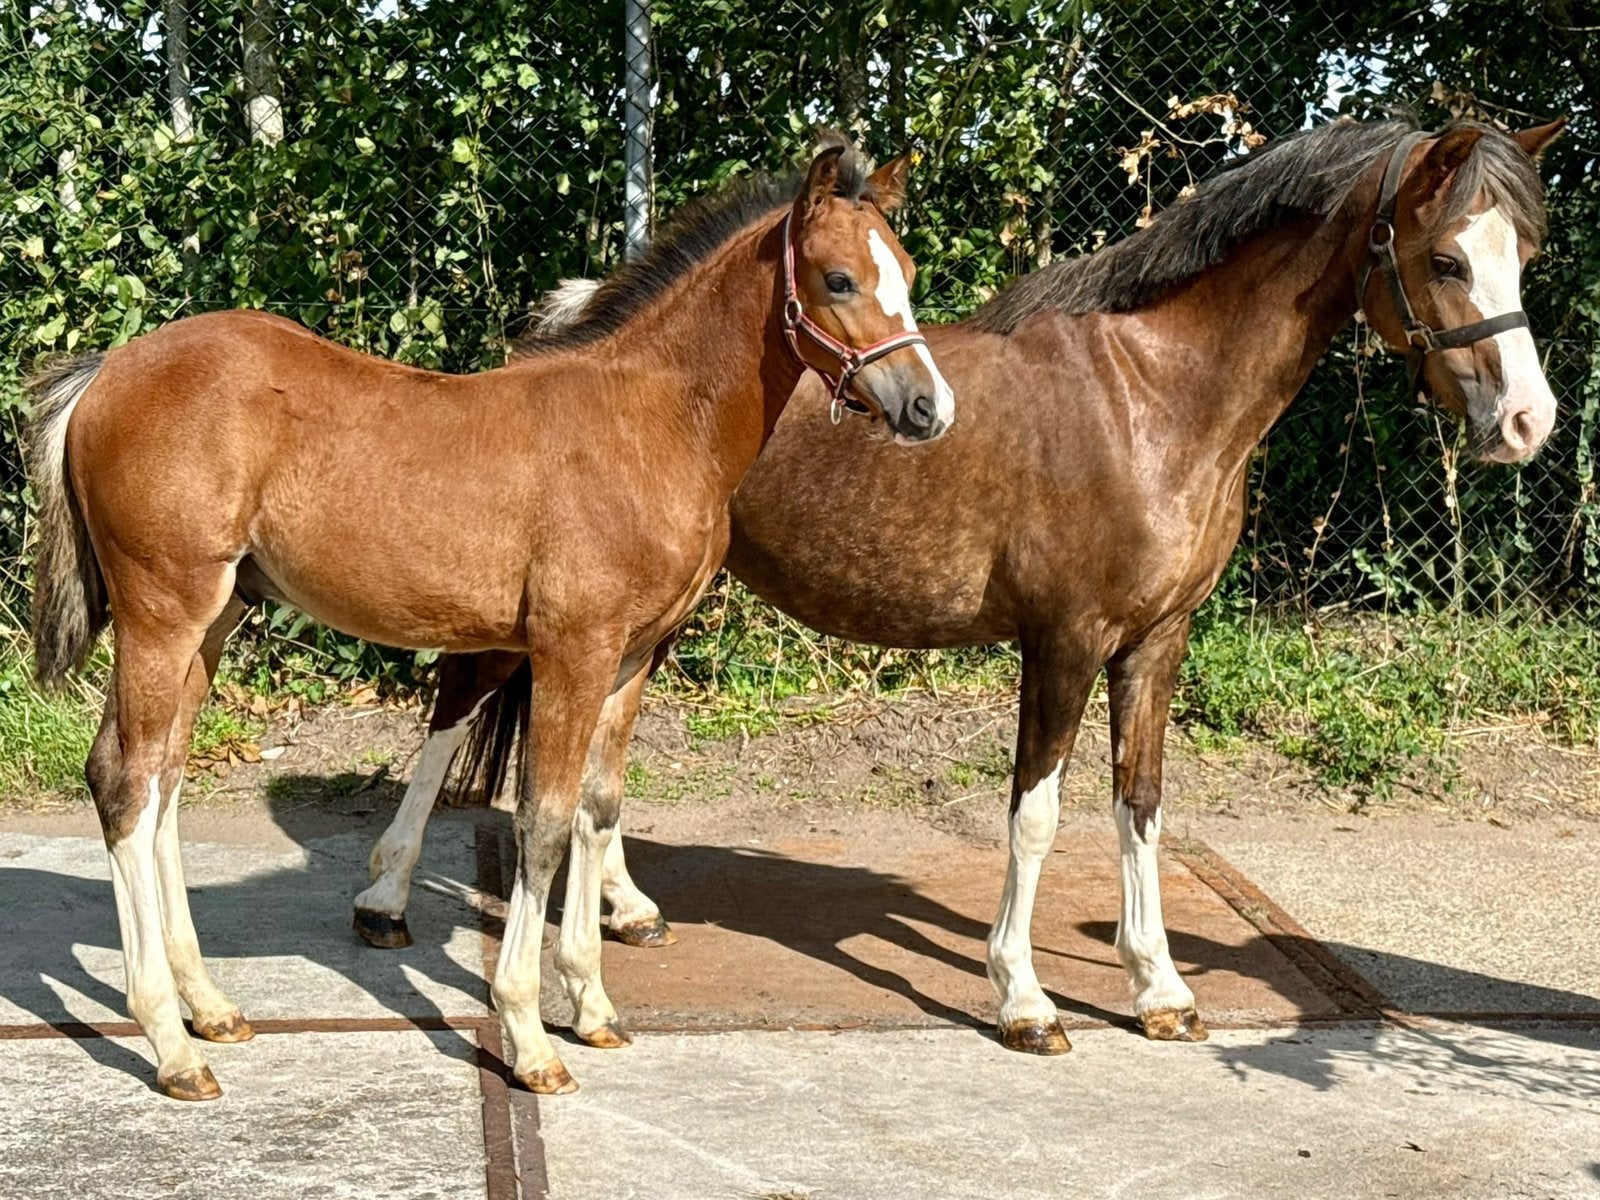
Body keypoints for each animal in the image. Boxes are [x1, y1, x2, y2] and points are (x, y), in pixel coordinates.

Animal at [24, 134, 954, 1101]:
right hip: (161, 611)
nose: (929, 408)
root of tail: (105, 372)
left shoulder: (630, 661)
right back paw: (171, 1045)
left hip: (213, 618)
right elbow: (540, 822)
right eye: (838, 279)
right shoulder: (573, 650)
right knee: (127, 784)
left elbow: (597, 809)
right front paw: (531, 1037)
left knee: (158, 779)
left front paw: (593, 1006)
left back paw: (209, 1005)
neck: (652, 422)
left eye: (906, 271)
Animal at [357, 116, 1563, 1058]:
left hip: (661, 612)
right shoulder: (1065, 640)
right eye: (1446, 260)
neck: (1153, 398)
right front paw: (1025, 999)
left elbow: (1140, 804)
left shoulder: (1157, 642)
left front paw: (1160, 988)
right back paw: (383, 899)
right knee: (456, 708)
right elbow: (1037, 816)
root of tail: (579, 324)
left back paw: (625, 911)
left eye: (1524, 253)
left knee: (597, 762)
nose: (1527, 424)